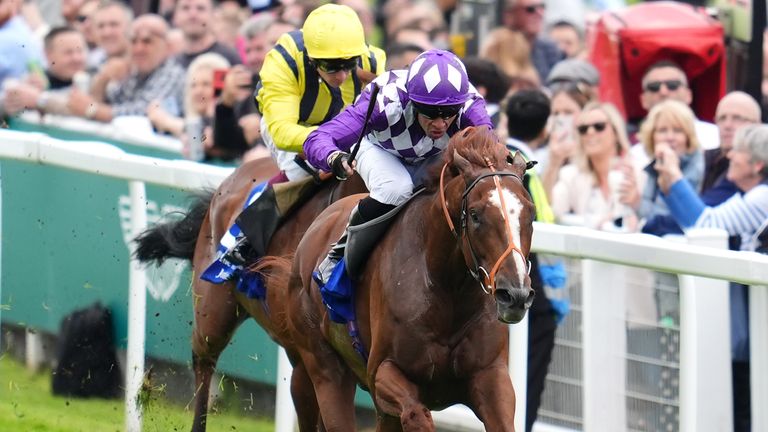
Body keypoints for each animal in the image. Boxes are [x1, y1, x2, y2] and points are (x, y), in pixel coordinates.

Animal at [258, 126, 536, 430]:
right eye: (475, 215)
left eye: (530, 214)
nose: (515, 295)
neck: (448, 291)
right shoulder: (382, 373)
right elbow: (417, 415)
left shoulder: (491, 375)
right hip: (322, 365)